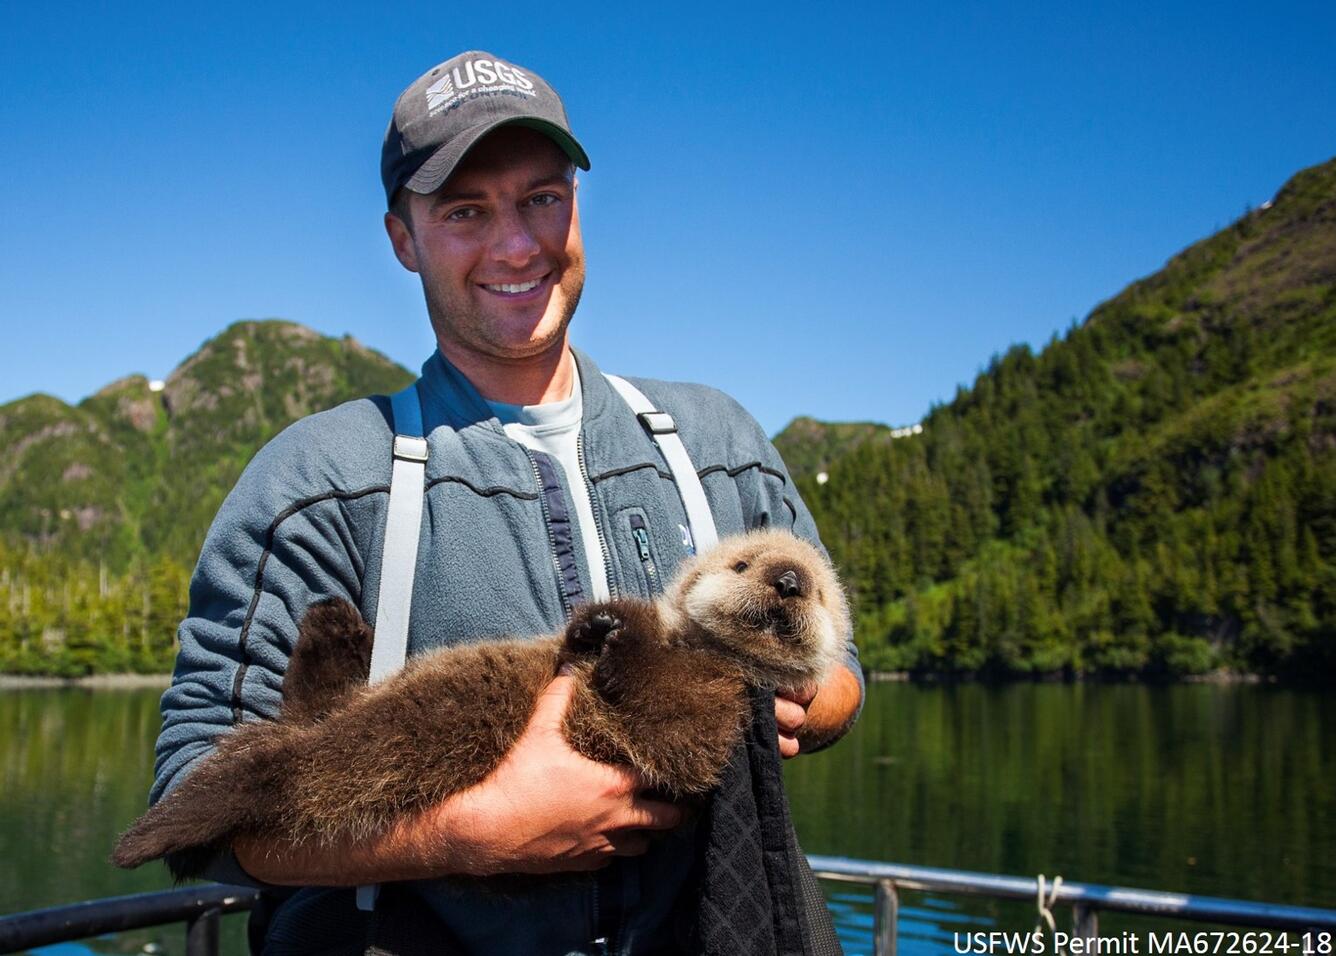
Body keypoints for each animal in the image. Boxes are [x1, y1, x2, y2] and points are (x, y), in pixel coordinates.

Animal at [112, 529, 849, 879]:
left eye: (814, 591)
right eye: (743, 566)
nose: (788, 580)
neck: (692, 645)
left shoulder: (706, 714)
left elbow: (663, 724)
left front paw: (621, 624)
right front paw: (595, 622)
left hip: (373, 746)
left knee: (269, 772)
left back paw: (145, 837)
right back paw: (333, 621)